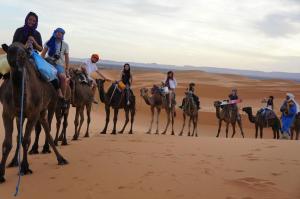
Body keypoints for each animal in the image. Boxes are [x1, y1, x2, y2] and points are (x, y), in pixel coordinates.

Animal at [0, 43, 67, 183]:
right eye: (9, 52)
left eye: (23, 54)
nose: (16, 65)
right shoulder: (7, 113)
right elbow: (7, 143)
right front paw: (1, 174)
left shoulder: (33, 113)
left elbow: (26, 140)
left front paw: (25, 168)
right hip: (34, 113)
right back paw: (14, 161)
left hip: (51, 104)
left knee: (48, 128)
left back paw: (60, 158)